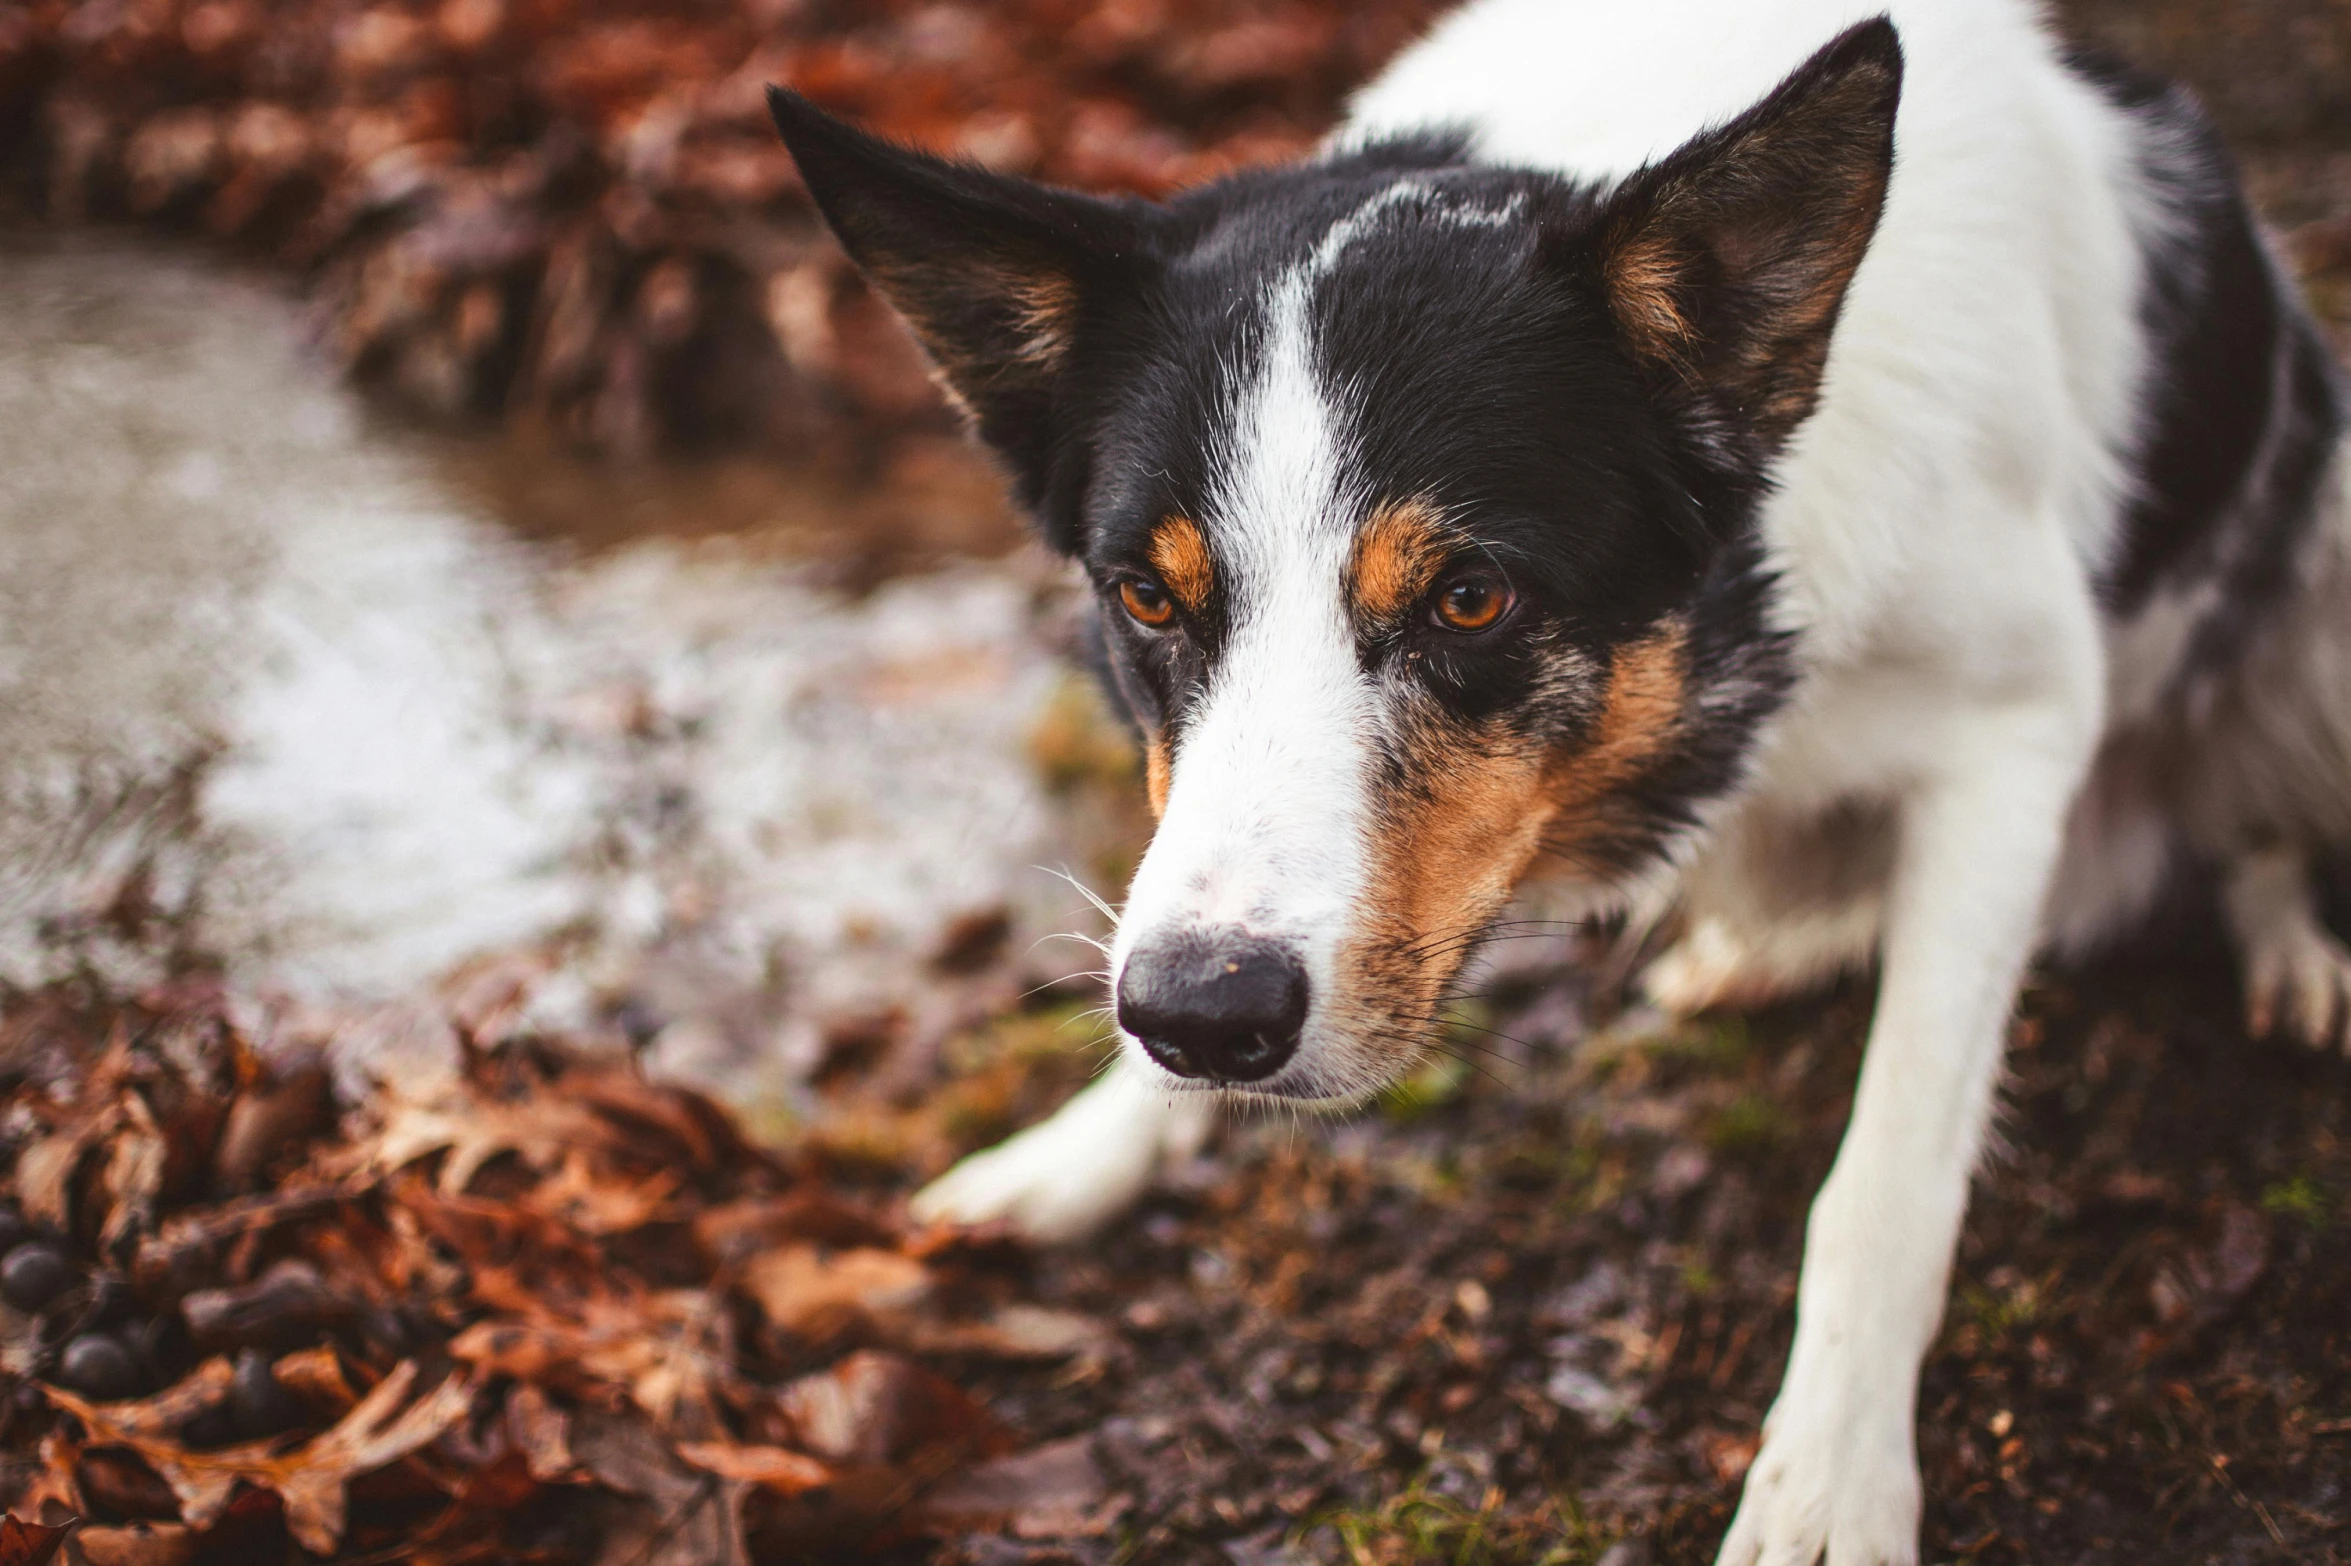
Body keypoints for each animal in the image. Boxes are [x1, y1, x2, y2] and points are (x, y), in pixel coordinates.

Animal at [761, 6, 2341, 1551]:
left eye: (1469, 599)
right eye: (1146, 599)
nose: (1202, 1022)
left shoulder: (2017, 727)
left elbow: (1885, 1175)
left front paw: (1829, 1482)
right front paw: (1088, 1138)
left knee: (2245, 815)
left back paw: (2288, 946)